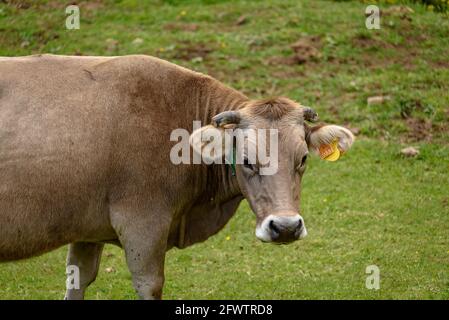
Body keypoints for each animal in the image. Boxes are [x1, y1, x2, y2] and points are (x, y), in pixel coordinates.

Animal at [0, 53, 354, 298]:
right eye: (246, 160)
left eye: (303, 158)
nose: (285, 227)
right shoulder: (143, 225)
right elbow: (150, 284)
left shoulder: (87, 228)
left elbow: (78, 278)